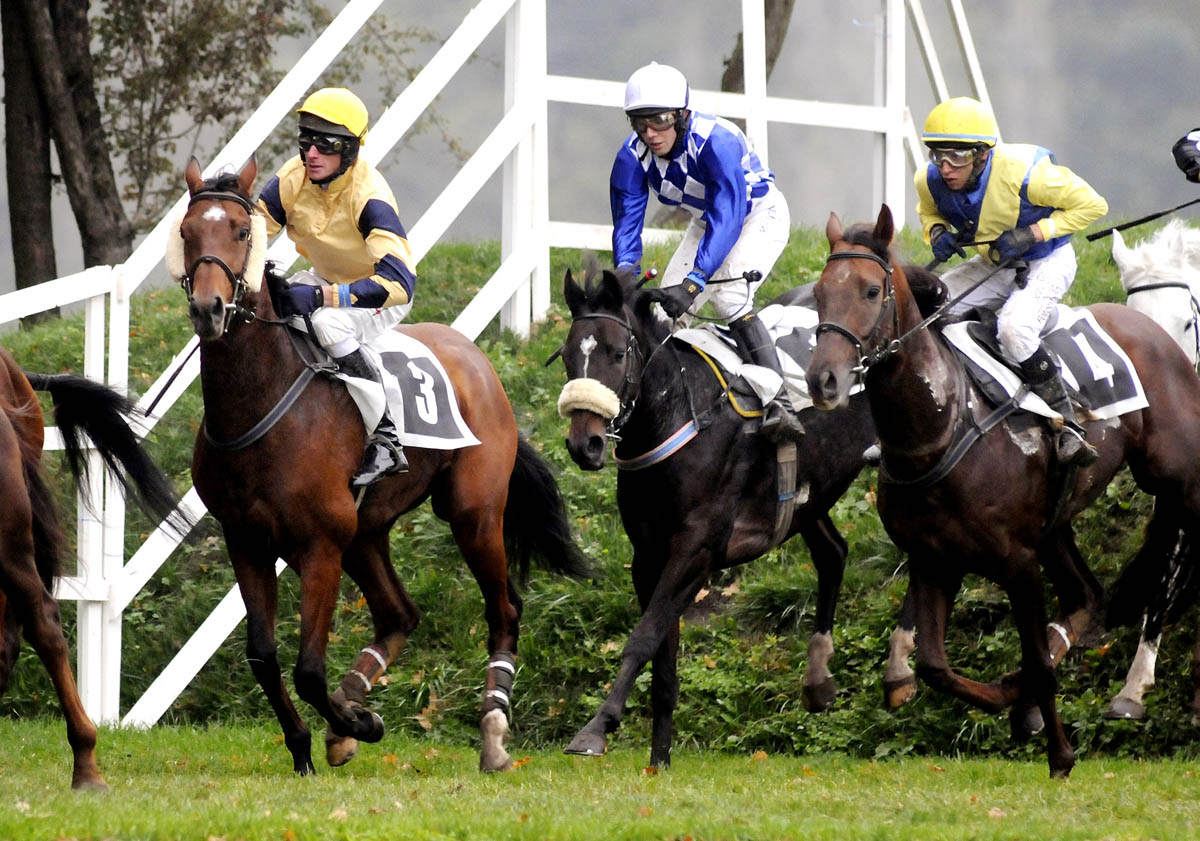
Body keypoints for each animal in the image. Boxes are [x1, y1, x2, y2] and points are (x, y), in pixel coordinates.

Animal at [177, 157, 590, 772]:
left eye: (241, 231)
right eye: (186, 233)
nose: (209, 309)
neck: (259, 405)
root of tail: (475, 357)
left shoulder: (319, 544)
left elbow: (307, 668)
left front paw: (359, 724)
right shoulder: (246, 540)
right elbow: (263, 657)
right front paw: (310, 742)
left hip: (471, 513)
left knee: (505, 610)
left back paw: (492, 731)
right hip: (365, 533)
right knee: (399, 615)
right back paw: (352, 707)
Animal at [554, 262, 883, 767]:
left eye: (616, 353)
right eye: (570, 356)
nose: (584, 444)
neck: (676, 419)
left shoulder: (698, 549)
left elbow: (644, 637)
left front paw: (596, 727)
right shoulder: (650, 556)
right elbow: (663, 658)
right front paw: (659, 761)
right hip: (809, 498)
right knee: (834, 554)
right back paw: (820, 681)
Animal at [801, 201, 1200, 772]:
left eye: (871, 291)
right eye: (817, 294)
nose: (824, 380)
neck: (940, 428)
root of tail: (1151, 330)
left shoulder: (1017, 562)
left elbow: (1034, 662)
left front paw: (1059, 751)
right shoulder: (934, 559)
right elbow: (935, 667)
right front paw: (1011, 698)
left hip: (1179, 480)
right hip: (1055, 526)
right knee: (1086, 596)